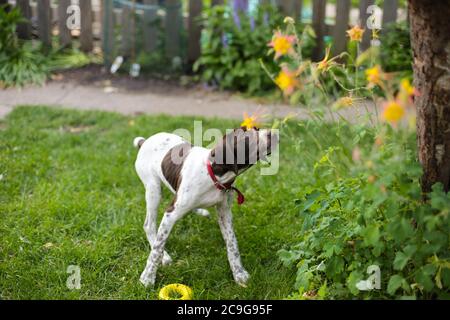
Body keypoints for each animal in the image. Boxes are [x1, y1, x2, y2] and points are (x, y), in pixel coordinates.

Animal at [133, 126, 278, 286]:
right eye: (246, 137)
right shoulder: (170, 213)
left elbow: (232, 244)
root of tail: (144, 141)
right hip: (153, 188)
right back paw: (164, 257)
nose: (274, 133)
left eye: (257, 129)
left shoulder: (224, 212)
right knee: (149, 225)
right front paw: (147, 278)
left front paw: (239, 273)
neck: (214, 176)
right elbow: (157, 248)